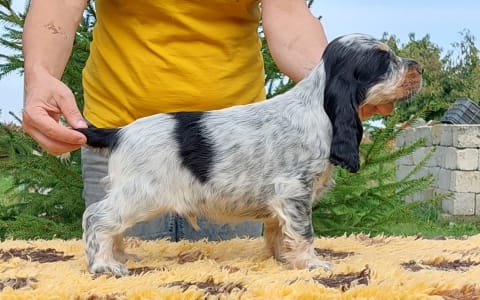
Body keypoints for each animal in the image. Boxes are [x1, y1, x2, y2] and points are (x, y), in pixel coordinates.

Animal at [77, 34, 422, 276]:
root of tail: (119, 132)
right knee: (97, 217)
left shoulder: (282, 200)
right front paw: (311, 264)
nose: (419, 67)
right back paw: (104, 265)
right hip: (142, 193)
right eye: (384, 61)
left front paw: (284, 258)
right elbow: (304, 232)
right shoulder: (294, 190)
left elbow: (279, 231)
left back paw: (120, 255)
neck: (317, 109)